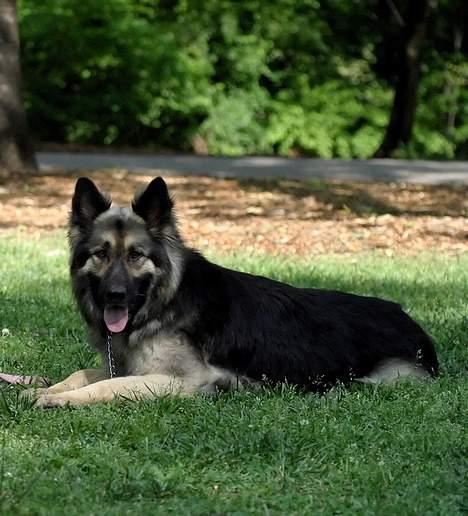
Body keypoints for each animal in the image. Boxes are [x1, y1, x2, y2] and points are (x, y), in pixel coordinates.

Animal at [31, 177, 436, 408]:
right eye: (100, 254)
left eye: (135, 255)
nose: (114, 295)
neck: (163, 303)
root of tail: (409, 319)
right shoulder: (128, 365)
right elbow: (84, 372)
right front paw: (43, 388)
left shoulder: (177, 380)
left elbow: (108, 387)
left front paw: (60, 400)